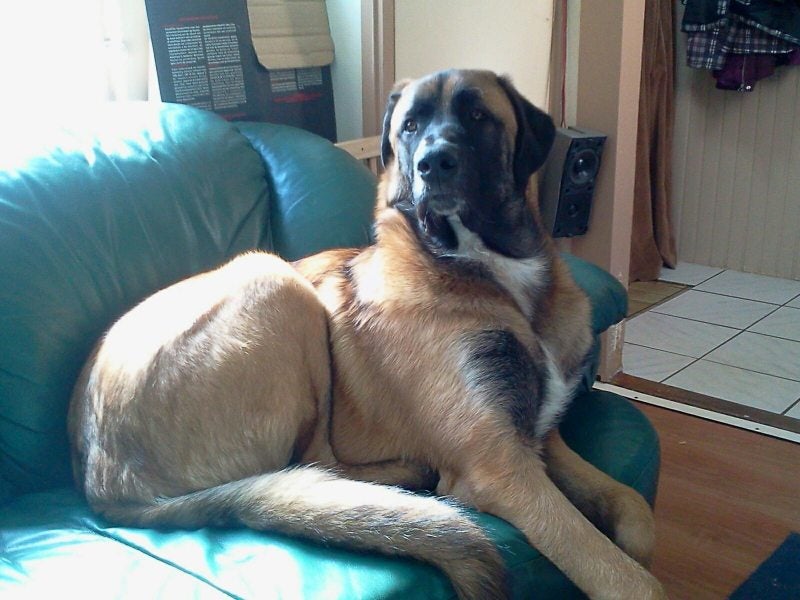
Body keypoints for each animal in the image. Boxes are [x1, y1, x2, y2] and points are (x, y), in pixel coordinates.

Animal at [69, 69, 665, 599]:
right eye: (410, 126)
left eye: (477, 115)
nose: (432, 165)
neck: (482, 268)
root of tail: (102, 483)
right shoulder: (503, 467)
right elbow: (617, 573)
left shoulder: (538, 442)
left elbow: (634, 514)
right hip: (275, 284)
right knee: (315, 463)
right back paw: (407, 476)